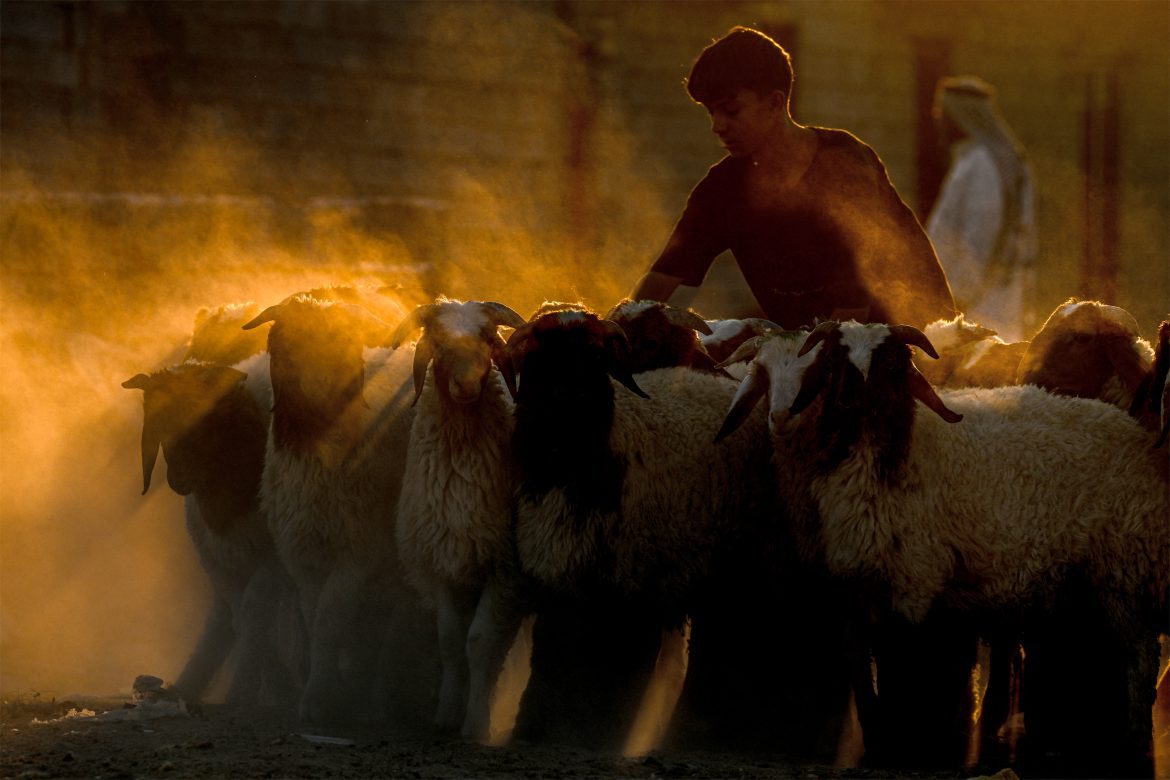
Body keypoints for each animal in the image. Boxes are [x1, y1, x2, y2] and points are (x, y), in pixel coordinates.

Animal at [118, 350, 299, 711]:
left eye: (203, 411)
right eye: (158, 419)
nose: (177, 479)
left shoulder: (272, 558)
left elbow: (255, 615)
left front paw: (244, 692)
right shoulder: (218, 562)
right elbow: (244, 620)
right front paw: (267, 689)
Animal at [239, 292, 437, 725]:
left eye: (342, 347)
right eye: (287, 343)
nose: (318, 391)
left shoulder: (358, 552)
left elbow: (329, 623)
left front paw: (319, 700)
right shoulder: (303, 555)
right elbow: (316, 619)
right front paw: (328, 692)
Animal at [383, 295, 526, 743]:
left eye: (487, 335)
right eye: (439, 342)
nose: (466, 386)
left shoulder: (505, 568)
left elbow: (480, 643)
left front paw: (477, 723)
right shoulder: (444, 562)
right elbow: (449, 641)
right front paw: (446, 714)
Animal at [725, 318, 1165, 776]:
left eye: (891, 364)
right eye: (834, 362)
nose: (854, 402)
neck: (901, 452)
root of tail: (1131, 431)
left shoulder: (918, 578)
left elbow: (906, 658)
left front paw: (912, 743)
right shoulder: (859, 581)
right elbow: (862, 662)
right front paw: (879, 742)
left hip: (1121, 570)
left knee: (1140, 657)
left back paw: (1132, 744)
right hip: (1081, 585)